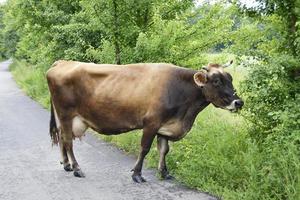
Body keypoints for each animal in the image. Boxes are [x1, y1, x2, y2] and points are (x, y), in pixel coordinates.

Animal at [46, 59, 244, 183]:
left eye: (230, 78)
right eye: (217, 81)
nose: (239, 102)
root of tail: (63, 62)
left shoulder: (165, 126)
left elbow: (164, 150)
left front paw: (164, 173)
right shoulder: (151, 123)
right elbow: (145, 149)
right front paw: (137, 174)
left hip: (63, 117)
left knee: (63, 139)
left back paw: (67, 165)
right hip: (66, 114)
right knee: (68, 141)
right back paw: (77, 168)